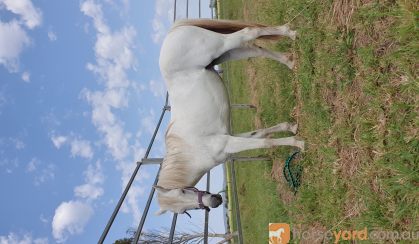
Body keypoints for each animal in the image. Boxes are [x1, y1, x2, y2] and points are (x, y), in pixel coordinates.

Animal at [154, 19, 306, 215]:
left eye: (182, 191)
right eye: (185, 212)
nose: (214, 201)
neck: (192, 152)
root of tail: (172, 32)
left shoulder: (227, 142)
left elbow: (266, 142)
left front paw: (299, 143)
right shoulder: (232, 137)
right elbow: (263, 133)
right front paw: (292, 127)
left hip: (222, 45)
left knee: (249, 32)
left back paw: (291, 34)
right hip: (227, 53)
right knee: (257, 50)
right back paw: (291, 60)